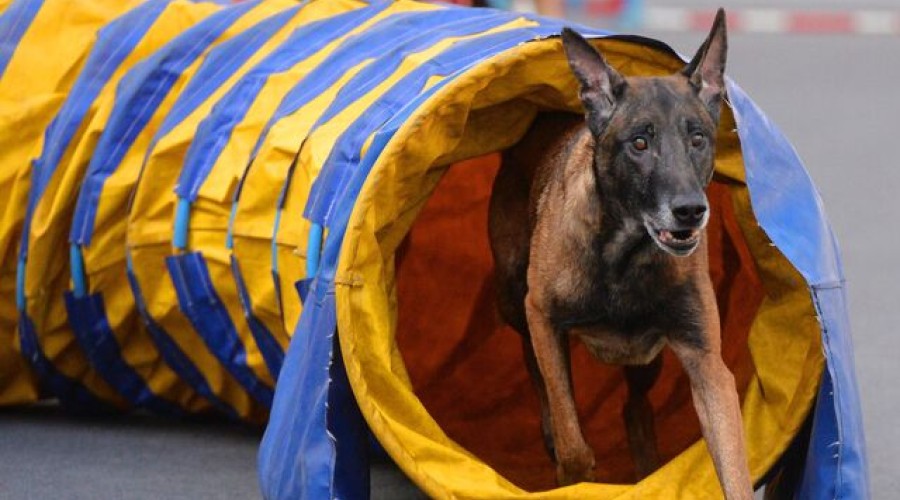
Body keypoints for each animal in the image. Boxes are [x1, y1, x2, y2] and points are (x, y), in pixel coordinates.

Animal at [486, 9, 752, 498]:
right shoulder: (543, 316)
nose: (690, 211)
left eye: (698, 139)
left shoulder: (706, 363)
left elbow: (733, 466)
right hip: (512, 298)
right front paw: (572, 475)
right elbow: (572, 437)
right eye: (639, 143)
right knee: (535, 368)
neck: (626, 254)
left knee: (635, 406)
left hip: (646, 360)